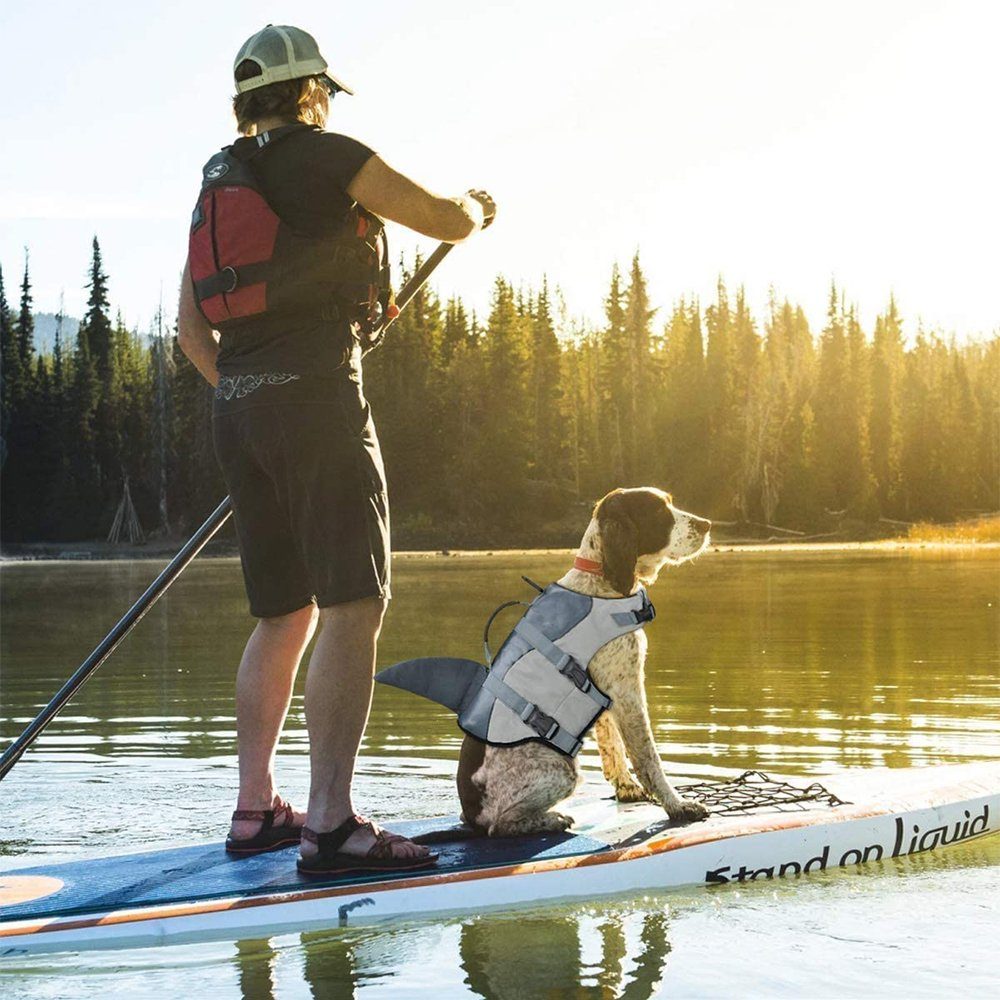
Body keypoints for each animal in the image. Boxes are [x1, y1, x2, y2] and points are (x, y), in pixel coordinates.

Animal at [458, 484, 716, 836]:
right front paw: (677, 805)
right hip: (563, 768)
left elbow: (613, 747)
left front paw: (626, 788)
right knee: (500, 827)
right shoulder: (627, 690)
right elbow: (648, 757)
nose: (706, 525)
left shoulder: (606, 695)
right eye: (658, 511)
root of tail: (471, 812)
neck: (601, 581)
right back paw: (552, 819)